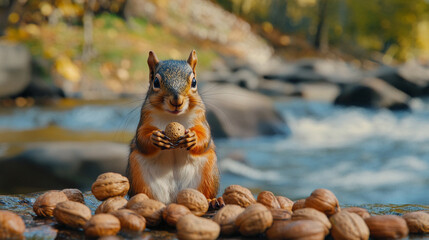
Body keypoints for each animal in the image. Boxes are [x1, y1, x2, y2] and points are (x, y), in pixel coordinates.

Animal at [125, 50, 219, 204]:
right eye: (156, 82)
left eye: (194, 82)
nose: (177, 101)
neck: (173, 117)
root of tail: (173, 199)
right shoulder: (145, 118)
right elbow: (141, 138)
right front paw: (156, 138)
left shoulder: (200, 118)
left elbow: (205, 135)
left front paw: (192, 138)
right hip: (138, 173)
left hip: (208, 174)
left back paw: (213, 201)